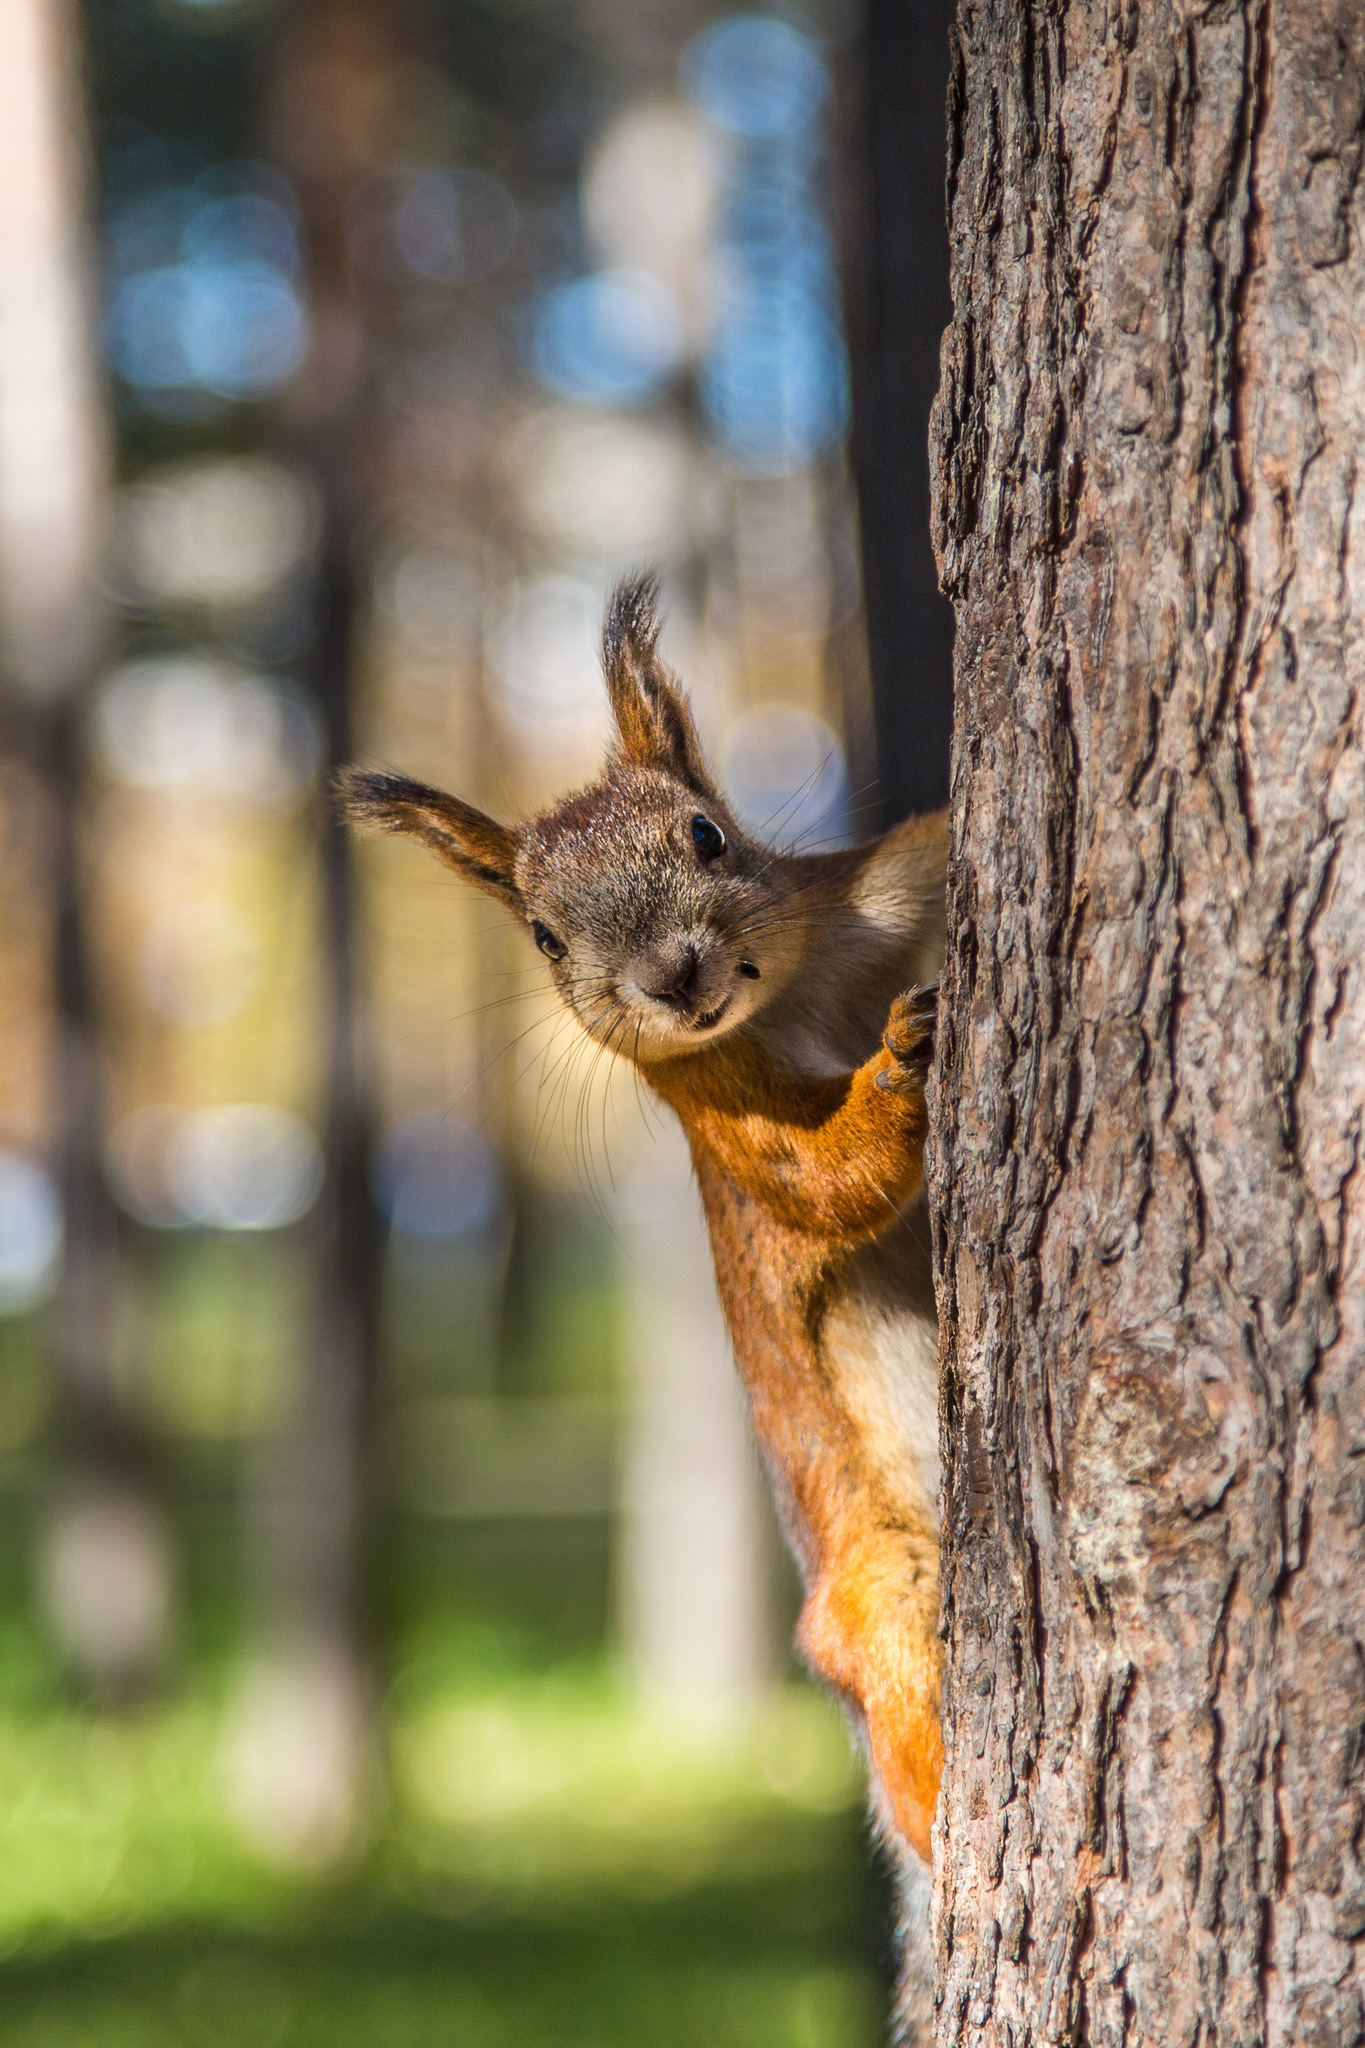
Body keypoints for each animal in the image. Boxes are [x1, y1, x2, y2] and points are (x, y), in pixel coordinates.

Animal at [339, 573, 949, 1875]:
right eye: (544, 936)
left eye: (707, 835)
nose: (673, 978)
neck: (811, 987)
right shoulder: (720, 1112)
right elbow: (824, 1182)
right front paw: (901, 1061)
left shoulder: (885, 886)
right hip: (879, 1595)